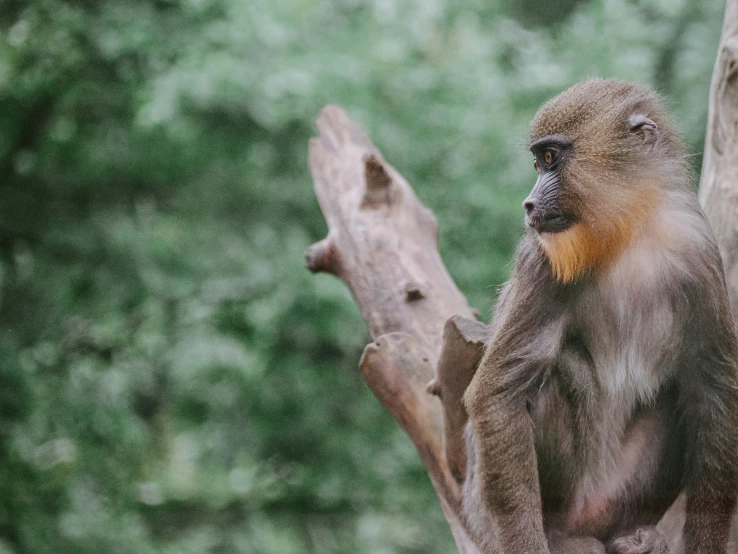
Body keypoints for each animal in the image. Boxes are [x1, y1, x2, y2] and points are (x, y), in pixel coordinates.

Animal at [460, 78, 736, 552]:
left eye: (550, 159)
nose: (529, 204)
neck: (628, 234)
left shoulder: (699, 251)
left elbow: (714, 390)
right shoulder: (541, 262)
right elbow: (500, 391)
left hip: (623, 495)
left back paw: (637, 535)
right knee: (551, 376)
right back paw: (556, 532)